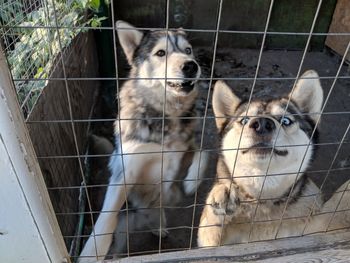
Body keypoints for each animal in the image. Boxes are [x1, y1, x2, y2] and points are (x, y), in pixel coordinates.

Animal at [80, 21, 208, 262]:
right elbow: (106, 217)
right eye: (161, 53)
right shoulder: (126, 169)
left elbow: (203, 152)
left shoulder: (185, 147)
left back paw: (159, 225)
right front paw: (92, 252)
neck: (164, 117)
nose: (191, 66)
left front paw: (191, 181)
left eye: (188, 50)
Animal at [198, 70, 348, 248]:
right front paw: (222, 193)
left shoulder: (312, 231)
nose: (262, 124)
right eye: (244, 120)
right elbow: (210, 230)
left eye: (286, 120)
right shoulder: (211, 243)